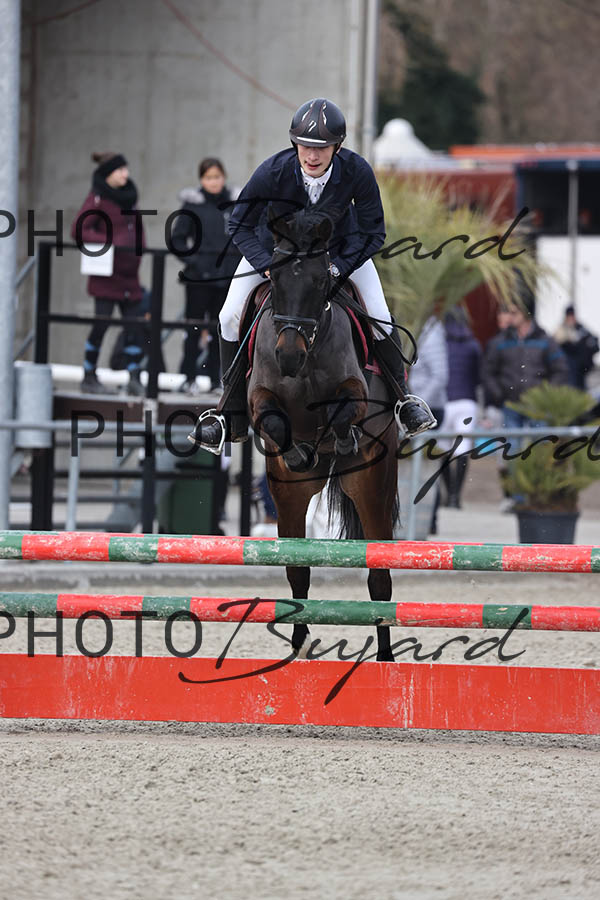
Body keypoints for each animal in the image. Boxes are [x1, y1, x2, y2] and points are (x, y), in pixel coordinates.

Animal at [247, 207, 400, 661]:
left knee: (379, 577)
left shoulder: (357, 393)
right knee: (298, 569)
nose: (287, 356)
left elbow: (342, 410)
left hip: (371, 486)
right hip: (289, 497)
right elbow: (273, 420)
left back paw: (386, 657)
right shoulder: (260, 399)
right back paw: (298, 646)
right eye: (276, 279)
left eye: (319, 281)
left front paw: (340, 439)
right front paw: (300, 452)